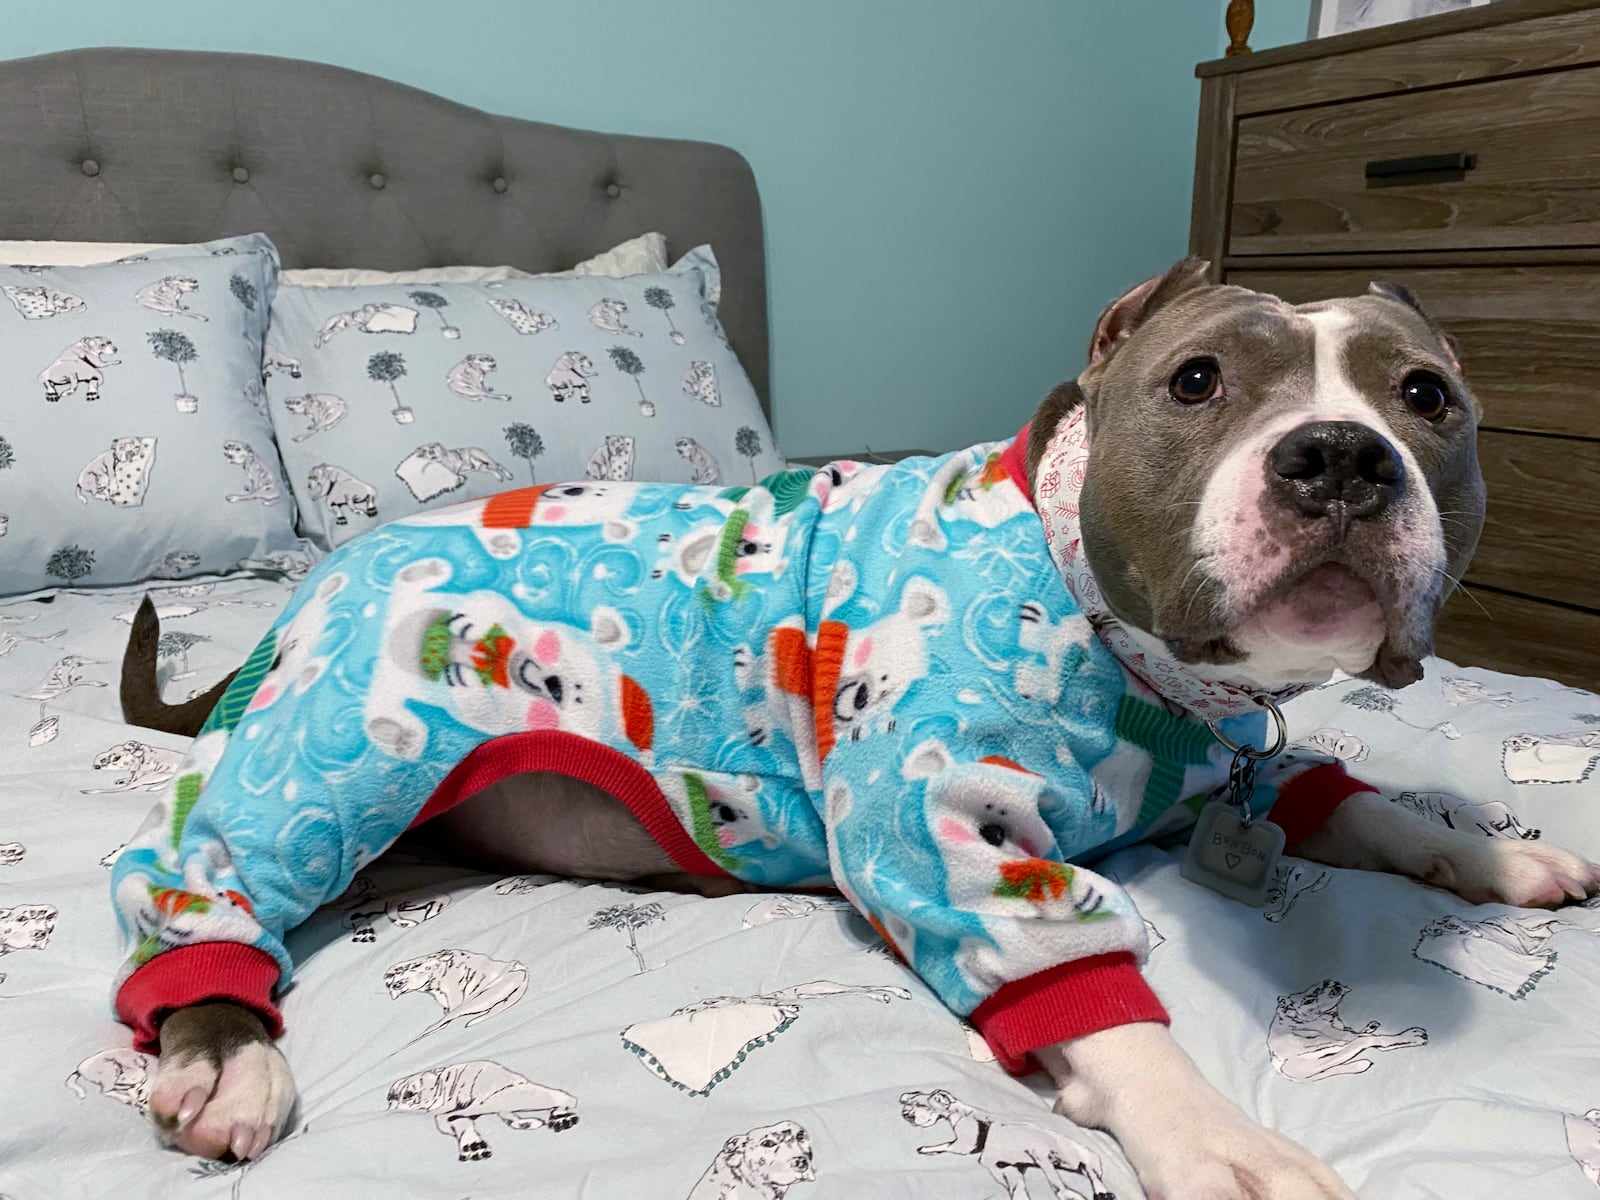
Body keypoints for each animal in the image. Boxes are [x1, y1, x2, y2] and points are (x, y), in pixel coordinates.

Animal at [112, 259, 1600, 1196]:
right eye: (1194, 384)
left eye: (1425, 398)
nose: (1340, 459)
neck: (1151, 669)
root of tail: (316, 588)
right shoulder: (932, 820)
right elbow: (1092, 990)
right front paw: (1214, 1137)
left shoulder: (1243, 761)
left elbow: (1352, 801)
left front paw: (1492, 855)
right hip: (347, 741)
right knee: (205, 872)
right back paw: (226, 1046)